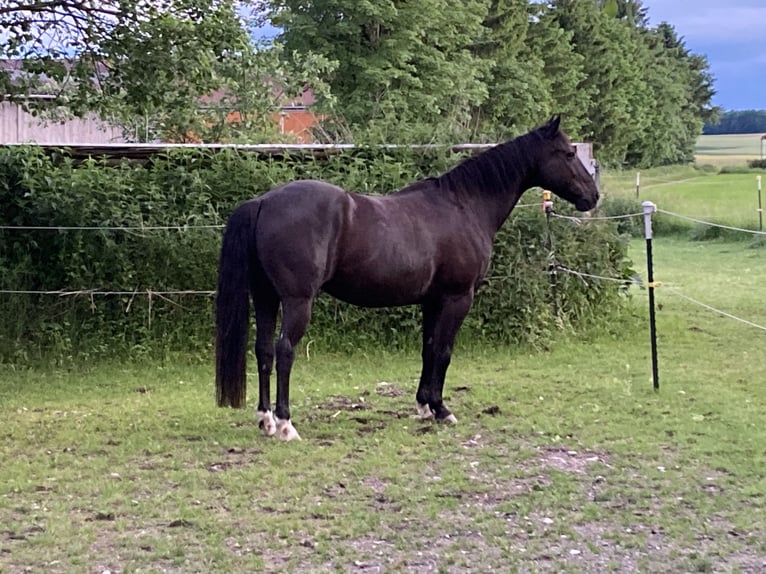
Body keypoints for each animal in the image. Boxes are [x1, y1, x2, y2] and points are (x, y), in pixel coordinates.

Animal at [215, 116, 599, 441]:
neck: (464, 206)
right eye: (568, 153)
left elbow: (428, 349)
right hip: (297, 301)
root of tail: (264, 201)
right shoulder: (458, 298)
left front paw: (424, 405)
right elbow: (444, 351)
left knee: (264, 350)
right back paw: (285, 424)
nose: (593, 196)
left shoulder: (432, 300)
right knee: (284, 351)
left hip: (265, 297)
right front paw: (442, 410)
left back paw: (265, 419)